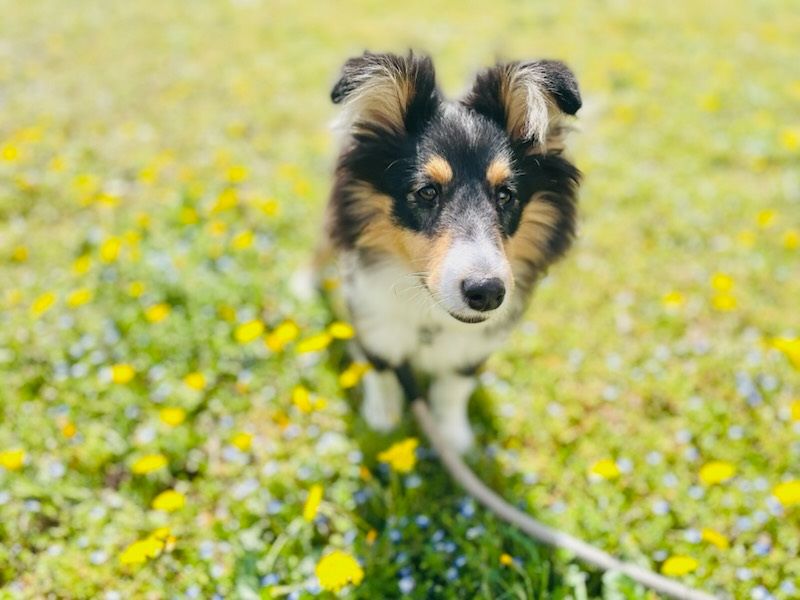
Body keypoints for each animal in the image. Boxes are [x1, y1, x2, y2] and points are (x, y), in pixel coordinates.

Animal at [317, 51, 581, 453]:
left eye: (505, 195)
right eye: (427, 191)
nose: (486, 293)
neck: (431, 316)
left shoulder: (472, 348)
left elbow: (454, 386)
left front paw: (454, 438)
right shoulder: (372, 317)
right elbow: (381, 369)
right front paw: (383, 420)